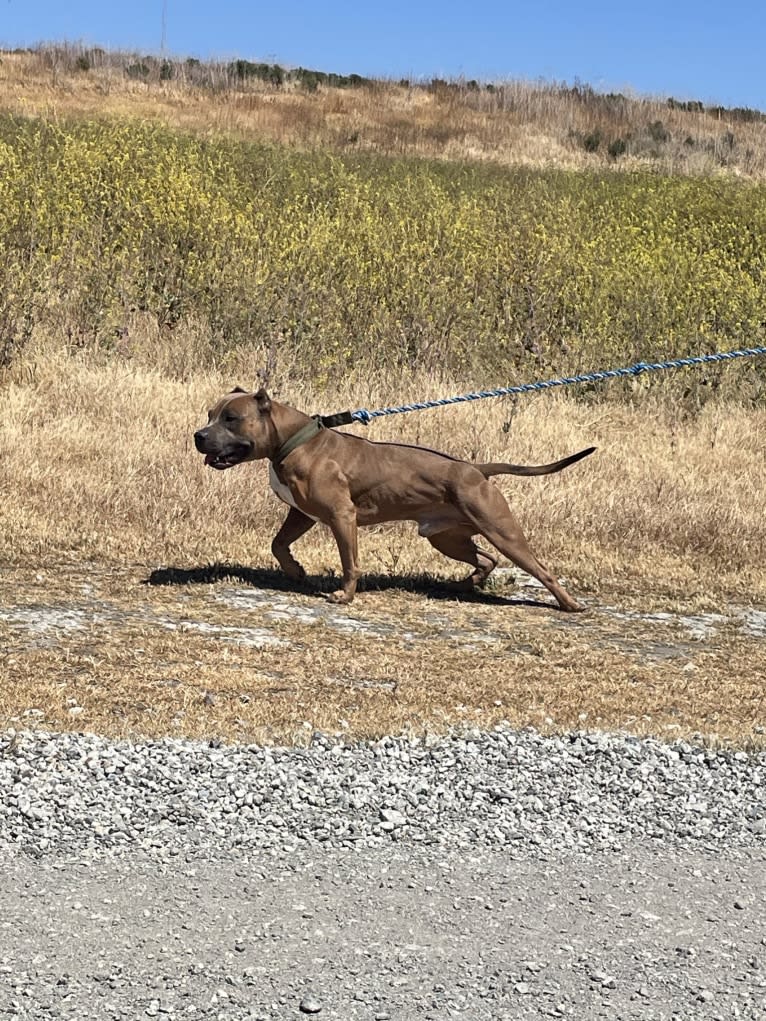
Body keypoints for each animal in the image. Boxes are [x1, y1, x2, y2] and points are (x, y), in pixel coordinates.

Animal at [195, 387, 596, 612]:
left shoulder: (341, 516)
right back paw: (465, 584)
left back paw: (569, 605)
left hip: (502, 530)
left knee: (538, 568)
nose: (198, 435)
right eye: (210, 414)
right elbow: (277, 544)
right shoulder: (301, 513)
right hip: (446, 537)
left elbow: (350, 562)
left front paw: (345, 596)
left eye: (231, 418)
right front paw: (295, 570)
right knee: (486, 559)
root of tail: (475, 469)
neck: (294, 441)